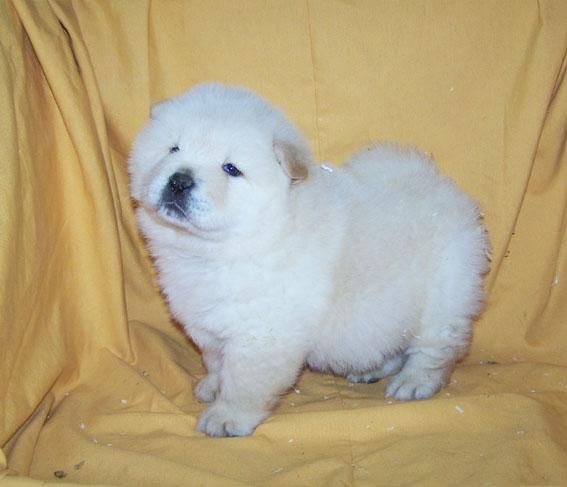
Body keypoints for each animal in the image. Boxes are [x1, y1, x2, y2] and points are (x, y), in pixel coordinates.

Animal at [127, 82, 488, 436]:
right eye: (173, 149)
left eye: (231, 169)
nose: (180, 180)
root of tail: (437, 183)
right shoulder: (210, 324)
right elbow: (216, 362)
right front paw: (212, 387)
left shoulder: (262, 334)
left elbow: (244, 381)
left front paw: (226, 417)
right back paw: (369, 371)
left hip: (443, 300)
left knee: (435, 350)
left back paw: (413, 383)